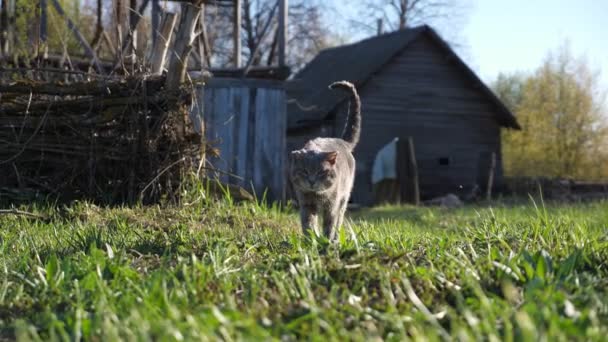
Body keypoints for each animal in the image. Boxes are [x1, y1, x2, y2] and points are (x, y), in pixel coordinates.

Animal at [290, 80, 360, 240]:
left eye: (321, 172)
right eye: (304, 171)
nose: (312, 181)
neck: (317, 196)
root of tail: (341, 141)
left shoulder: (332, 206)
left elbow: (329, 225)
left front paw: (327, 241)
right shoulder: (306, 204)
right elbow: (308, 224)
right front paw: (310, 240)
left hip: (344, 199)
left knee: (339, 220)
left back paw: (335, 239)